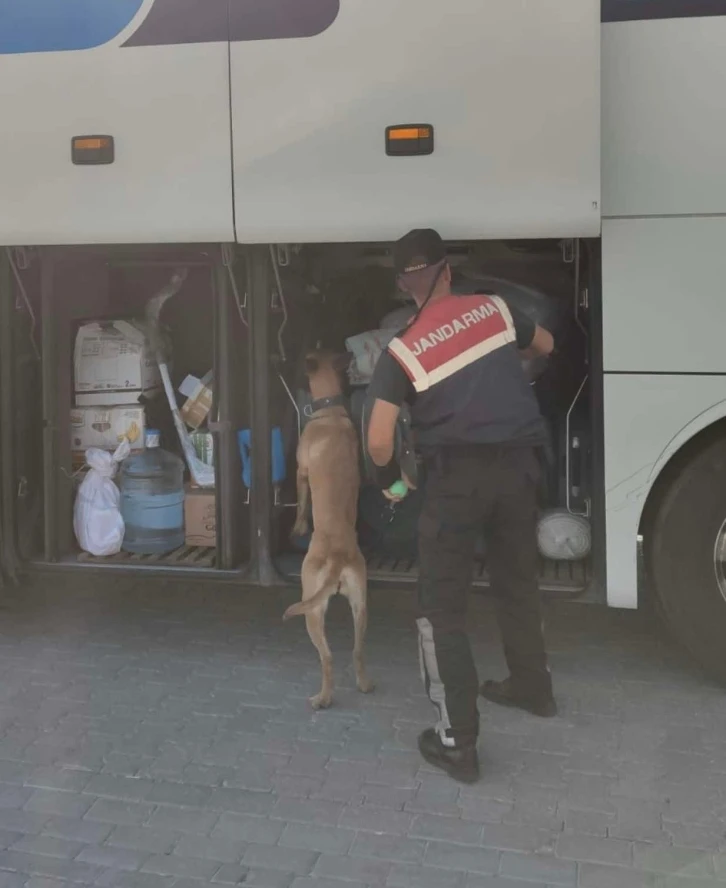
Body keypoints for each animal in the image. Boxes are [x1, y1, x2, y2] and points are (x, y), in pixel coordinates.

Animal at [284, 350, 376, 712]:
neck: (331, 413)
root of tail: (337, 556)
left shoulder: (301, 471)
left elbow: (301, 503)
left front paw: (298, 526)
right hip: (360, 604)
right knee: (357, 650)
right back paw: (363, 685)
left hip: (312, 607)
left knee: (328, 657)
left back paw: (322, 698)